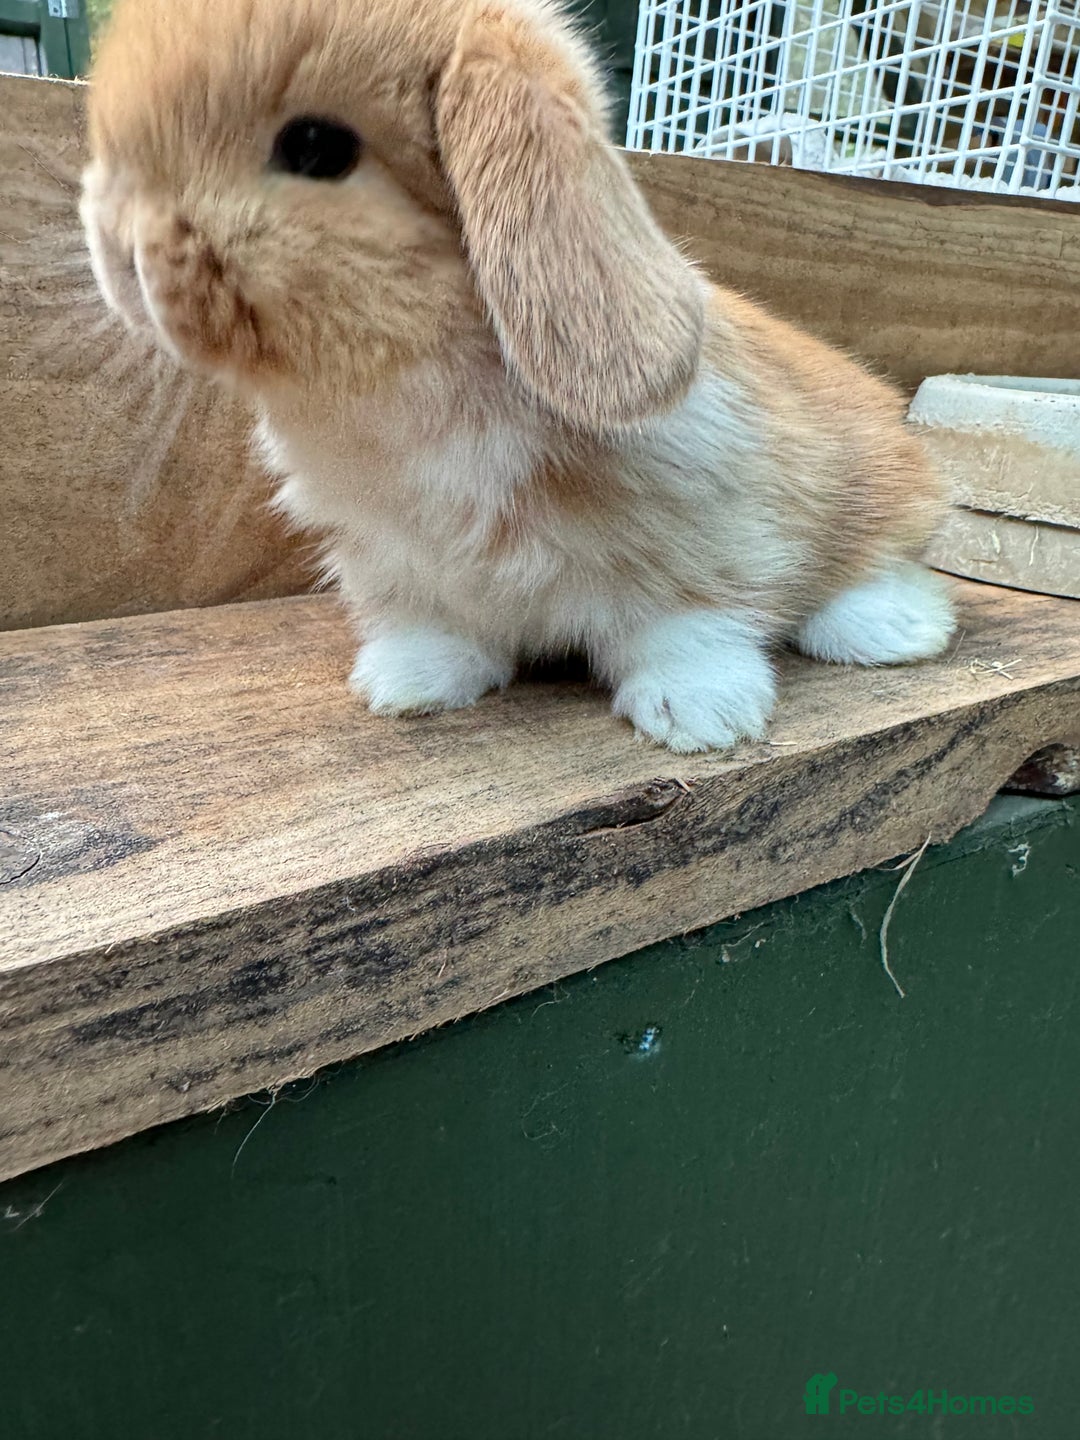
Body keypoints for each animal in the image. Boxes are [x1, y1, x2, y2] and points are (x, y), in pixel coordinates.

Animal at [81, 0, 955, 753]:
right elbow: (435, 624)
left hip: (884, 486)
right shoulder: (396, 559)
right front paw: (408, 684)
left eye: (316, 147)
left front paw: (700, 715)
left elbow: (690, 622)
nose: (119, 251)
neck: (413, 373)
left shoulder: (708, 524)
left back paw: (894, 632)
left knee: (885, 561)